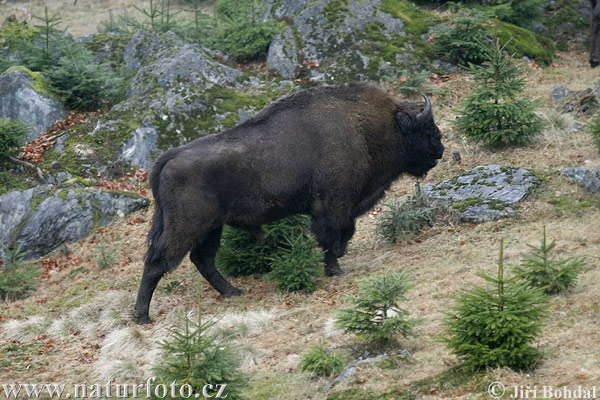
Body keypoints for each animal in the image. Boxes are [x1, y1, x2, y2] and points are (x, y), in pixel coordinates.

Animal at [134, 83, 442, 324]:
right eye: (427, 129)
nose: (440, 149)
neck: (367, 126)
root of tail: (167, 159)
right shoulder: (333, 204)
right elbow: (333, 235)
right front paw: (335, 268)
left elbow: (344, 232)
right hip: (186, 227)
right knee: (158, 262)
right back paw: (141, 316)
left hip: (211, 228)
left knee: (202, 259)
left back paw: (232, 292)